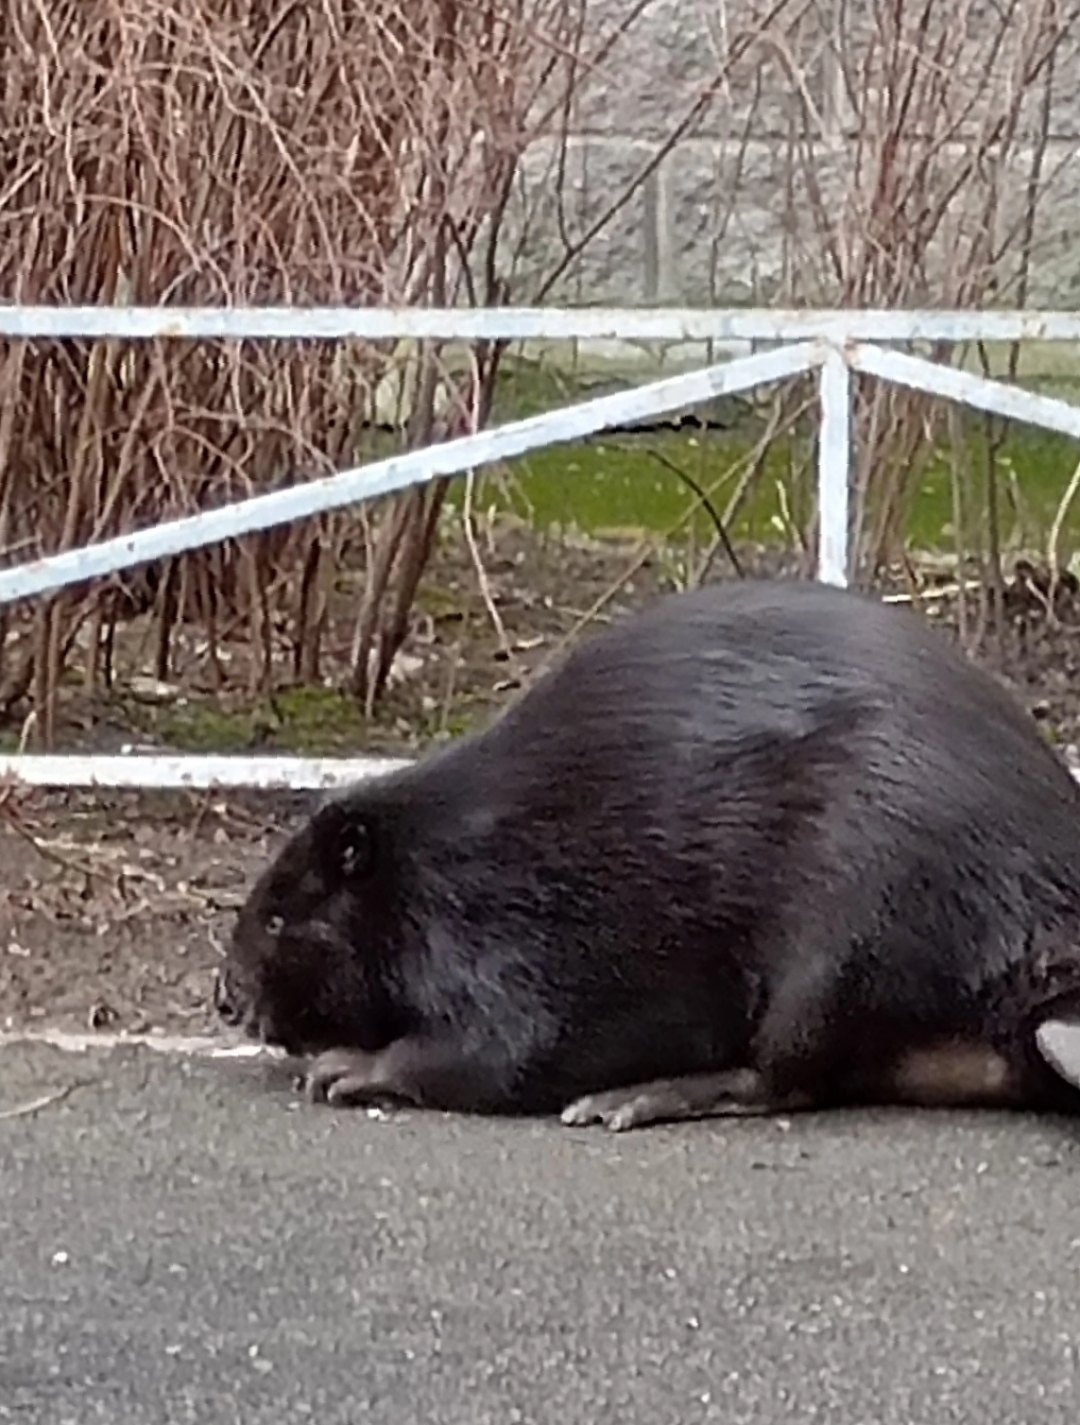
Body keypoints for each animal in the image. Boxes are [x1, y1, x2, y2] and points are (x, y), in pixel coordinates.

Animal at [215, 572, 1080, 1128]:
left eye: (280, 917)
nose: (227, 998)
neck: (435, 855)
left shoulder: (502, 927)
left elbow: (507, 1048)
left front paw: (342, 1068)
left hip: (848, 928)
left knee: (784, 1076)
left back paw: (625, 1101)